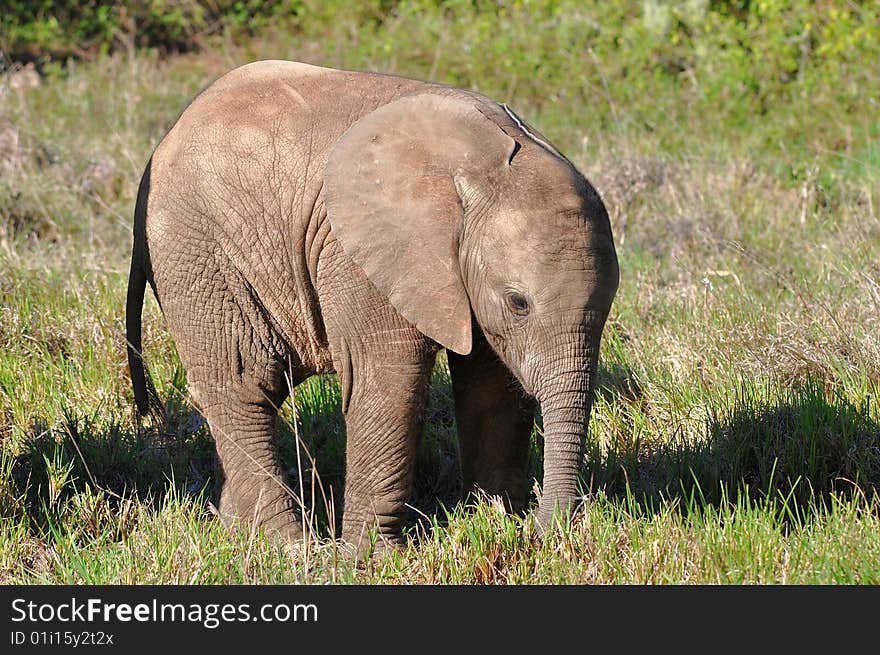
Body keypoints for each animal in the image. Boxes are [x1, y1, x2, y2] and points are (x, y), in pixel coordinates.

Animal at [127, 59, 620, 552]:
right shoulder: (363, 256)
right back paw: (290, 547)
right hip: (196, 255)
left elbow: (492, 384)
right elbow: (387, 381)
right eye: (518, 303)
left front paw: (498, 522)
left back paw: (240, 532)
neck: (477, 171)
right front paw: (373, 559)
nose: (548, 531)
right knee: (245, 384)